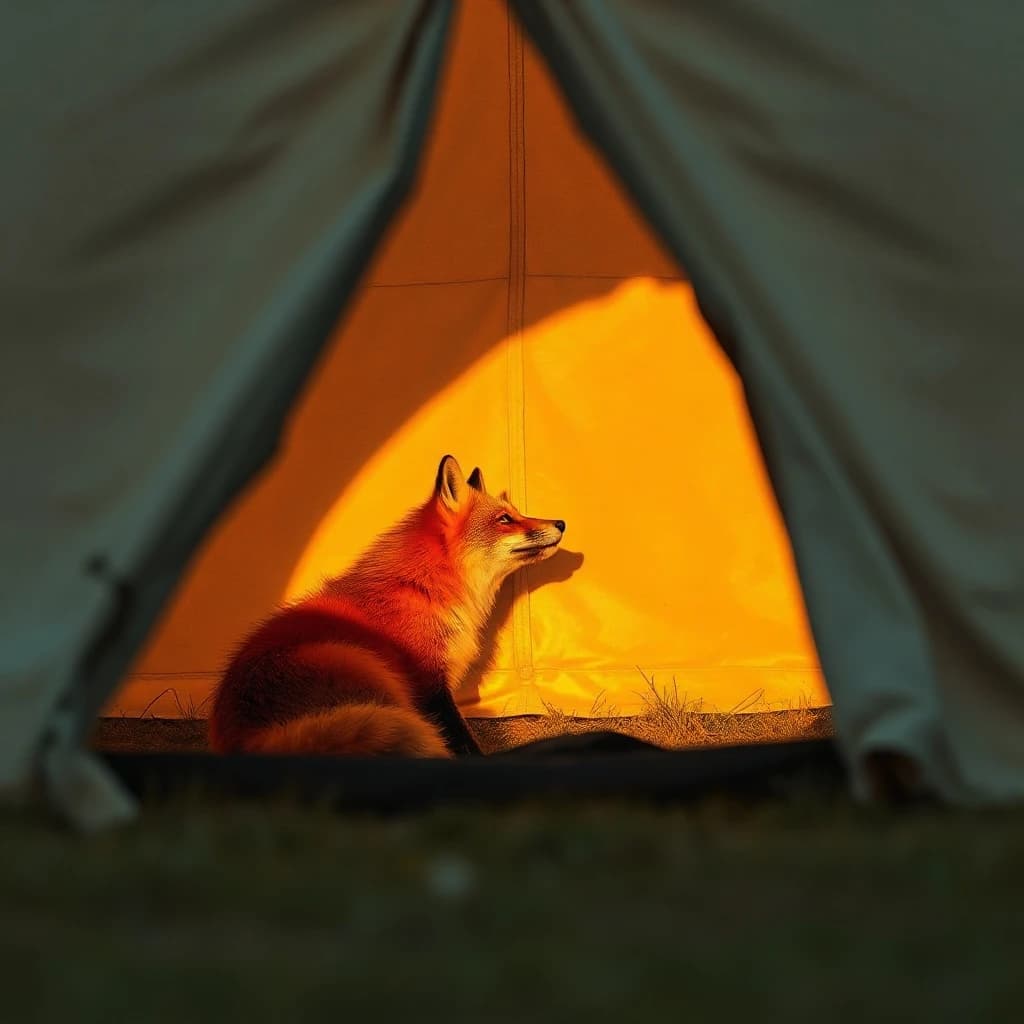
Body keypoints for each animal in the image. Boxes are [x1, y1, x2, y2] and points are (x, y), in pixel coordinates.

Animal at [208, 455, 565, 758]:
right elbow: (461, 739)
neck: (426, 588)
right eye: (505, 519)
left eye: (515, 513)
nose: (561, 522)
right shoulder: (427, 682)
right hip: (363, 664)